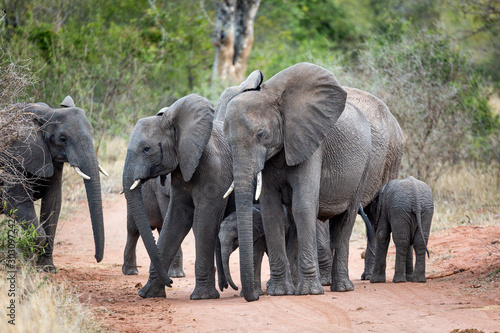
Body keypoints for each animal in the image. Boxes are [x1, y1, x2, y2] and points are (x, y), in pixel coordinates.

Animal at [0, 95, 106, 270]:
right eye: (62, 139)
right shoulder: (14, 154)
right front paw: (26, 258)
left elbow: (53, 201)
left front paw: (47, 268)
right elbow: (13, 199)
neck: (47, 112)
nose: (96, 259)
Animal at [122, 92, 233, 298]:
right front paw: (148, 294)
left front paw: (202, 297)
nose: (172, 283)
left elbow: (203, 221)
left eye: (146, 149)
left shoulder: (216, 172)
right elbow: (176, 219)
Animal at [219, 62, 402, 300]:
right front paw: (280, 292)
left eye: (260, 134)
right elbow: (272, 210)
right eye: (227, 138)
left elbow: (304, 206)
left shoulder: (312, 145)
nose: (254, 297)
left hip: (374, 161)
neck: (274, 97)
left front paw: (309, 292)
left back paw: (345, 286)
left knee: (351, 219)